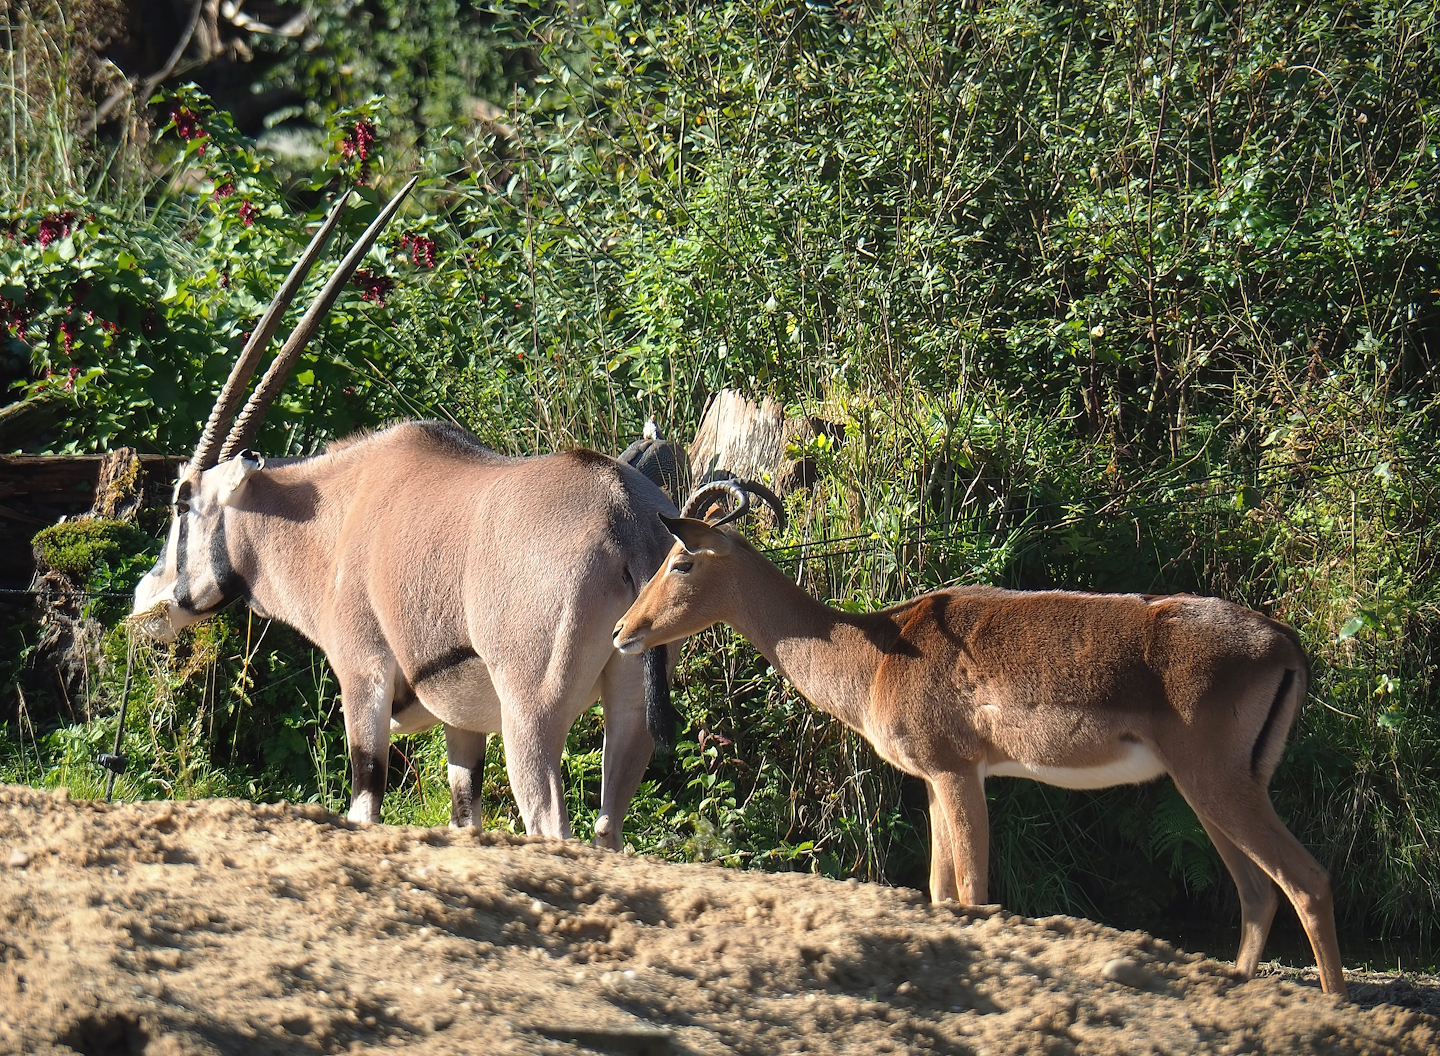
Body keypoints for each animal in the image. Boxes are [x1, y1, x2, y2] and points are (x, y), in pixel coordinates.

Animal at [132, 180, 679, 848]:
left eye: (182, 501)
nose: (147, 599)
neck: (334, 514)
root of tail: (623, 509)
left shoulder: (362, 677)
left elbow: (364, 804)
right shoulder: (464, 723)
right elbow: (464, 815)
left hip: (531, 715)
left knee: (552, 824)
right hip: (627, 715)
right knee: (607, 830)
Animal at [611, 484, 1346, 996]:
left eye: (681, 561)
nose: (623, 631)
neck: (874, 654)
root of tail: (1284, 642)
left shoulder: (957, 773)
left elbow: (972, 894)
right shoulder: (939, 782)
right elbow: (941, 896)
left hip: (1217, 785)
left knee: (1308, 879)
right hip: (1211, 794)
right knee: (1260, 891)